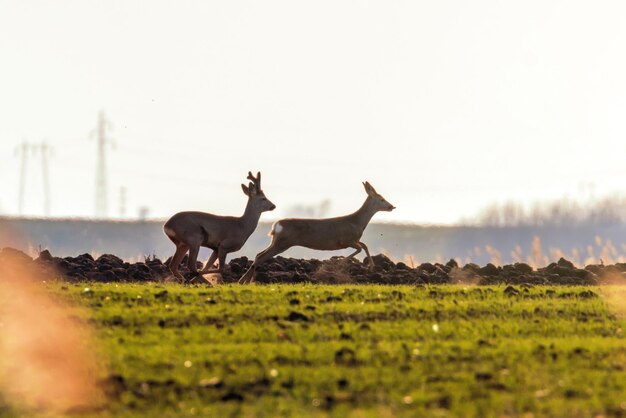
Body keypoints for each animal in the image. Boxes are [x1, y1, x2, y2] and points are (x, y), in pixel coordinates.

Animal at [239, 183, 394, 284]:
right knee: (261, 257)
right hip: (283, 243)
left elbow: (364, 245)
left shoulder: (352, 240)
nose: (392, 206)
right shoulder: (345, 240)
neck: (357, 222)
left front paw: (371, 266)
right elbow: (361, 247)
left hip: (277, 241)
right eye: (381, 199)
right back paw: (244, 281)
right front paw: (339, 262)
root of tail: (276, 225)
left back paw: (244, 280)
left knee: (258, 255)